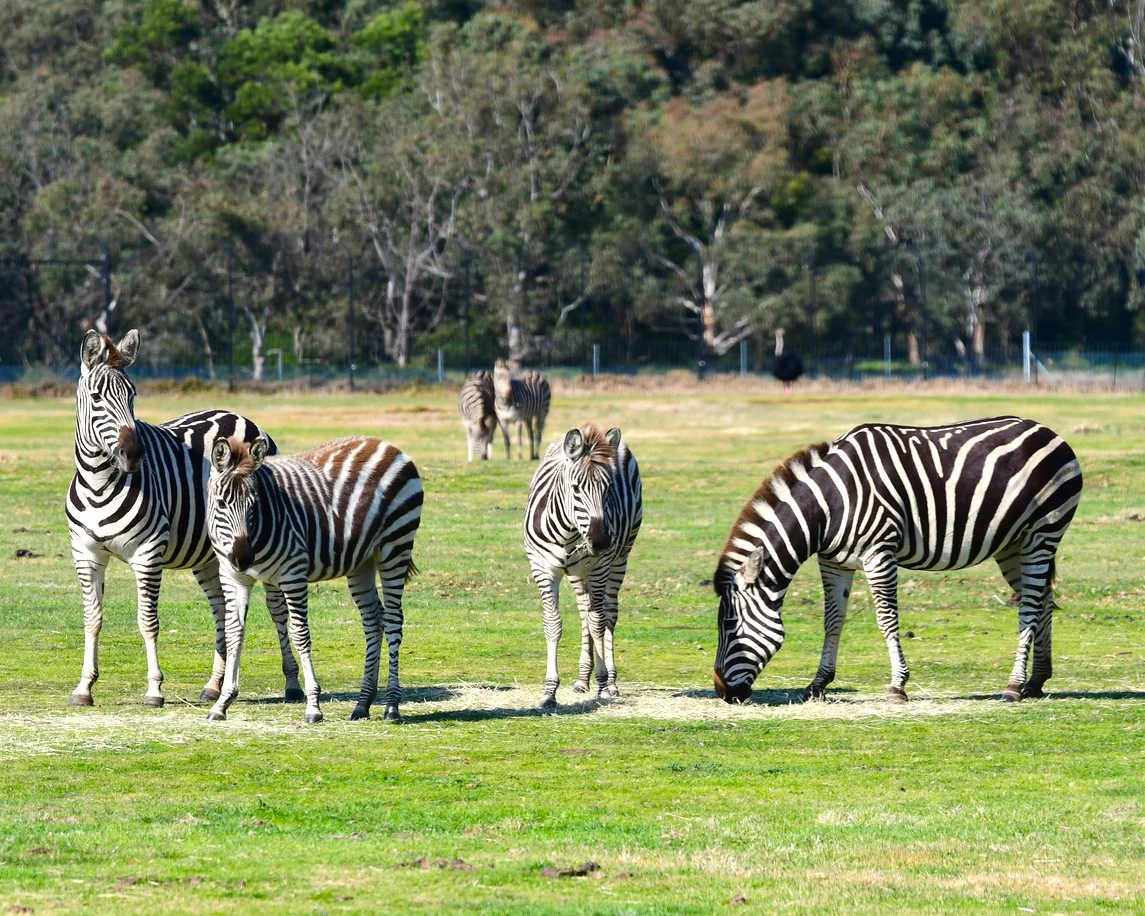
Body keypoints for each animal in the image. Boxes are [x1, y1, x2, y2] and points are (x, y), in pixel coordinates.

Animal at [67, 329, 302, 708]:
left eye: (132, 396)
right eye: (97, 397)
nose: (133, 454)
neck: (99, 483)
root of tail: (240, 416)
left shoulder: (148, 553)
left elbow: (147, 620)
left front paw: (154, 690)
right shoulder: (85, 554)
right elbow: (92, 618)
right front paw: (84, 687)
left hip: (262, 543)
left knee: (277, 606)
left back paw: (292, 683)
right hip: (211, 555)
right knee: (222, 608)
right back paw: (214, 685)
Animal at [205, 434, 423, 723]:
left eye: (254, 505)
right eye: (220, 503)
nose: (243, 559)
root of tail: (387, 445)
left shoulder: (293, 574)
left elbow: (300, 635)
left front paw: (313, 706)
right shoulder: (232, 578)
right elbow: (234, 632)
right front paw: (222, 702)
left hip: (396, 546)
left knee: (393, 620)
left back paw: (391, 706)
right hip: (362, 561)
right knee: (373, 620)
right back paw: (362, 704)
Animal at [524, 423, 642, 708]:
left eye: (609, 488)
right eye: (576, 488)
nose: (600, 542)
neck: (567, 532)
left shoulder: (599, 567)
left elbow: (598, 623)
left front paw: (603, 686)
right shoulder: (541, 567)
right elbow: (553, 624)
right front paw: (549, 691)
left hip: (619, 559)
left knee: (607, 614)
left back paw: (610, 681)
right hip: (578, 574)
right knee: (583, 612)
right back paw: (581, 679)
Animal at [712, 416, 1082, 705]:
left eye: (729, 624)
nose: (721, 692)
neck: (829, 505)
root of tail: (1046, 430)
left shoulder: (879, 554)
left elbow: (887, 620)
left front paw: (897, 686)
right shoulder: (834, 562)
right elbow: (833, 620)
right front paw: (818, 684)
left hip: (1042, 533)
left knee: (1030, 605)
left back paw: (1015, 685)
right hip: (1012, 544)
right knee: (1043, 599)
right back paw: (1037, 681)